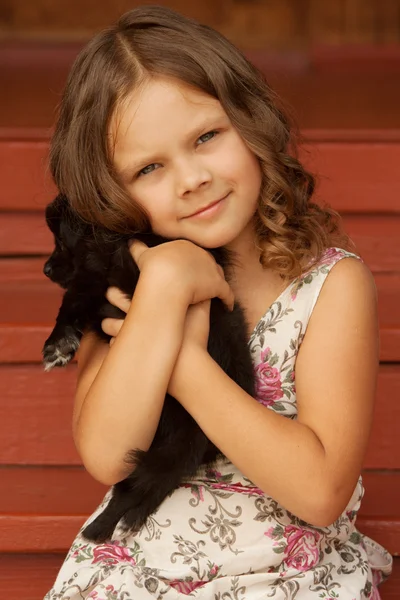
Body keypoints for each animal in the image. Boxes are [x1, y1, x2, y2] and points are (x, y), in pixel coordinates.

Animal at [43, 195, 255, 540]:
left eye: (61, 241)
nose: (45, 269)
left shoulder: (106, 276)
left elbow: (75, 293)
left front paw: (57, 345)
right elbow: (77, 297)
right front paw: (62, 344)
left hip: (183, 437)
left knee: (150, 478)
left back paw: (108, 525)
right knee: (152, 479)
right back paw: (121, 521)